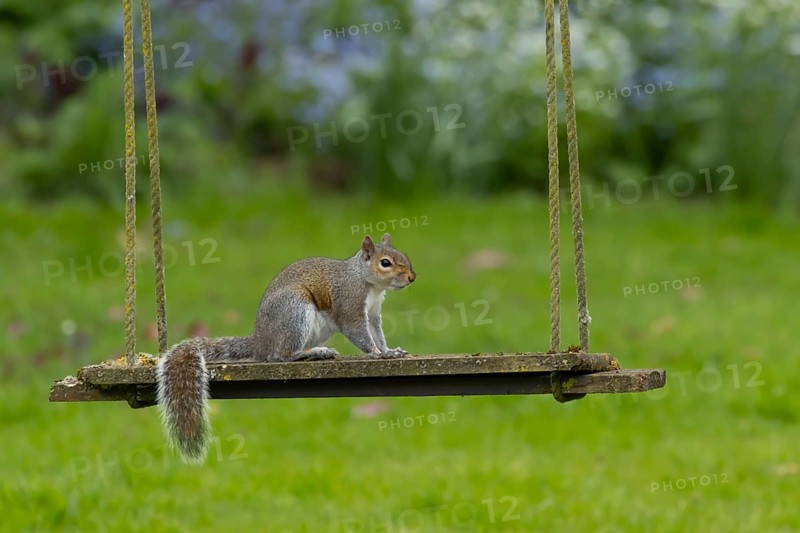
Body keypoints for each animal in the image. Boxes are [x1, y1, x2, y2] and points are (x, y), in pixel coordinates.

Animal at [156, 233, 416, 464]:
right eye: (385, 263)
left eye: (404, 255)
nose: (412, 277)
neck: (367, 282)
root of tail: (261, 341)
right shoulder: (349, 305)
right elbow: (359, 333)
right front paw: (376, 353)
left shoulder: (373, 313)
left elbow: (378, 334)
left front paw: (389, 351)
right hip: (295, 312)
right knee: (282, 355)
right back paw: (314, 353)